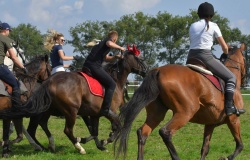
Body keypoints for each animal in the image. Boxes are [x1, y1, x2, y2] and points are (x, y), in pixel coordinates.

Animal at [114, 42, 246, 160]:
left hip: (156, 114)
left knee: (143, 132)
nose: (245, 79)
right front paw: (227, 157)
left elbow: (205, 149)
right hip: (185, 113)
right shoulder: (233, 119)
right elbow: (240, 145)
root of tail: (158, 70)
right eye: (245, 57)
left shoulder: (210, 124)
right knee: (165, 132)